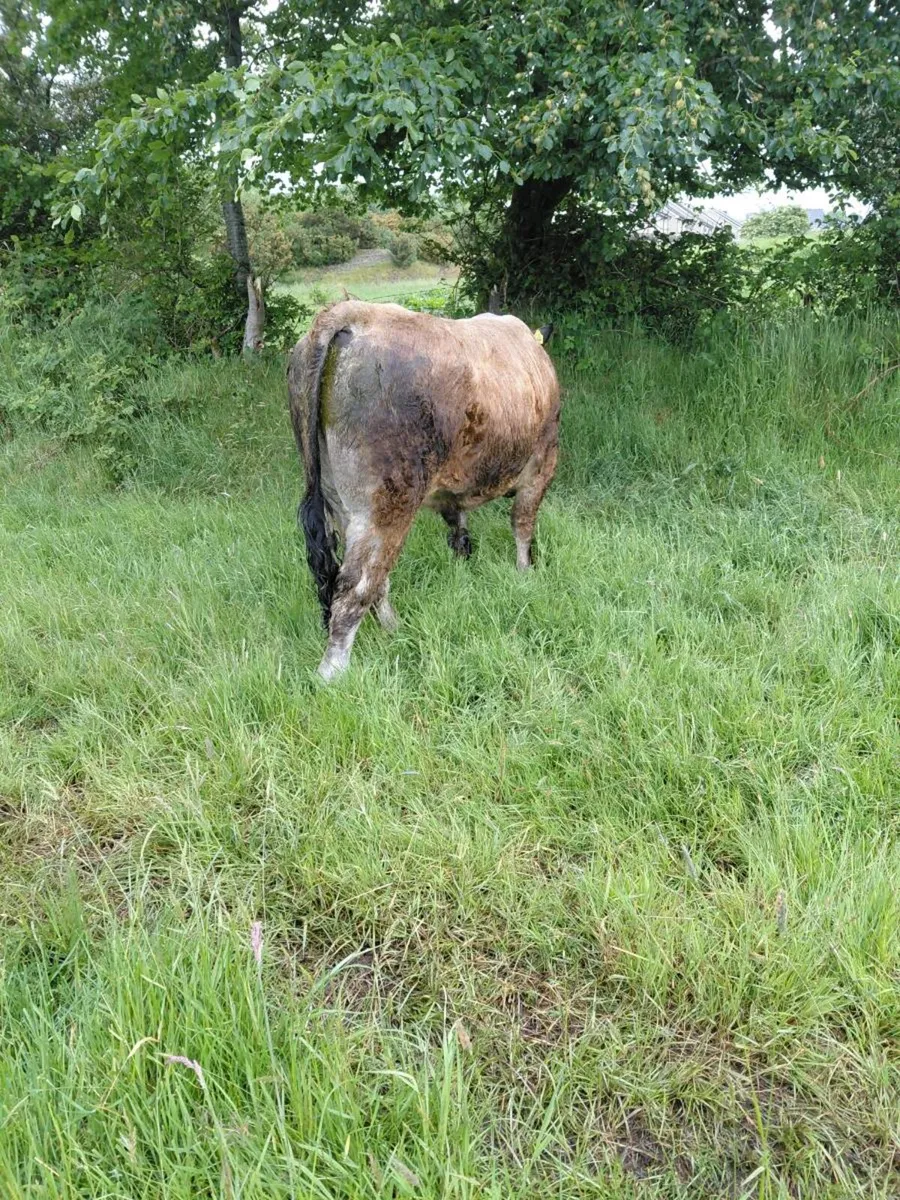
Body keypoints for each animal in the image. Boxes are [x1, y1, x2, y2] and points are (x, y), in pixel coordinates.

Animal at [288, 300, 560, 680]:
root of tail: (354, 312)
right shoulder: (542, 464)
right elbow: (522, 525)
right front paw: (525, 574)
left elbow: (459, 531)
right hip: (385, 507)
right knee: (355, 587)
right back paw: (333, 672)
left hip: (339, 501)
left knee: (371, 580)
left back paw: (394, 629)